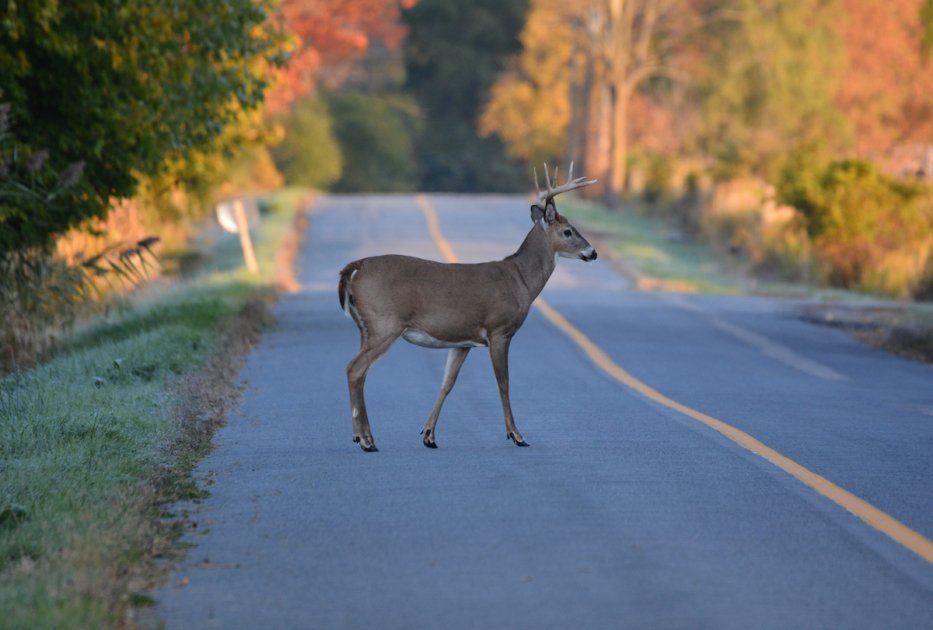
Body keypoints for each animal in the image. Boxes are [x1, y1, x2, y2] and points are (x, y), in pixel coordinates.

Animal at [340, 163, 596, 450]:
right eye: (568, 231)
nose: (593, 252)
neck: (521, 280)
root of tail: (353, 269)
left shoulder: (463, 341)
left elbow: (447, 384)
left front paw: (429, 435)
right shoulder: (499, 329)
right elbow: (503, 383)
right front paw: (516, 435)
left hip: (366, 328)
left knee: (360, 372)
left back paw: (361, 435)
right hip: (385, 324)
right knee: (354, 368)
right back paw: (366, 440)